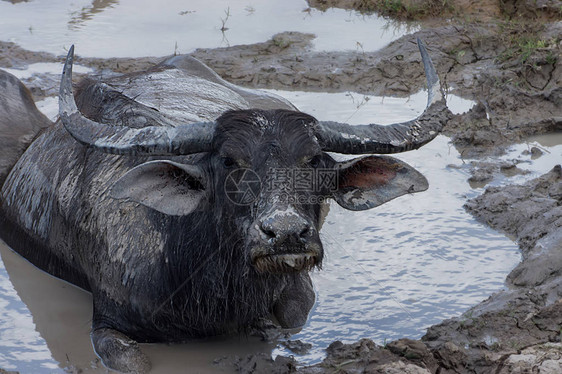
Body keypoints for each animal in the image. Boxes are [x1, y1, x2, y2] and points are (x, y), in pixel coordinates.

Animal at [0, 39, 446, 372]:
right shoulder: (107, 326)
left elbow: (291, 322)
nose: (286, 233)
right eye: (231, 162)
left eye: (314, 160)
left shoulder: (296, 290)